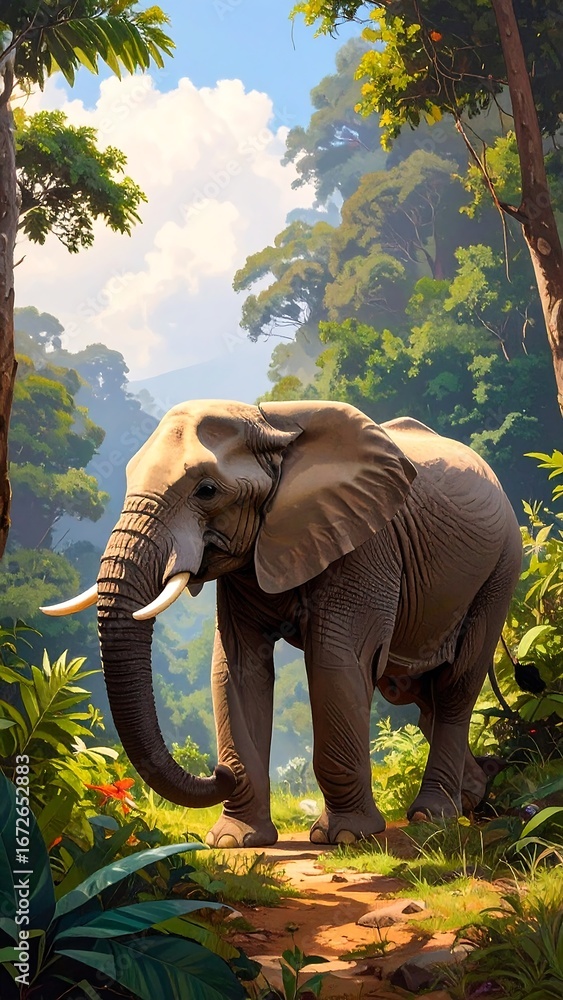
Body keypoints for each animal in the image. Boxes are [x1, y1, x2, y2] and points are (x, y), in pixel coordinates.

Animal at [41, 399, 522, 849]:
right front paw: (235, 841)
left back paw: (435, 814)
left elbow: (335, 662)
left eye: (207, 491)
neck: (270, 424)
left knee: (455, 686)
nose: (218, 770)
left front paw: (346, 837)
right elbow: (236, 668)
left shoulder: (365, 542)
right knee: (416, 695)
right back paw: (475, 795)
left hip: (500, 570)